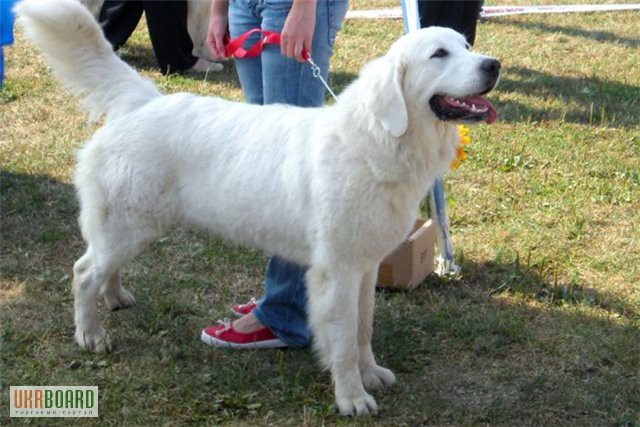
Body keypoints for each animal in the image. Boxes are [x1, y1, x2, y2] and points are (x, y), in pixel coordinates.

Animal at [16, 0, 500, 416]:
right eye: (439, 54)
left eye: (466, 46)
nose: (492, 65)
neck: (379, 140)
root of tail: (143, 100)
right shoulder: (338, 271)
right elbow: (344, 340)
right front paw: (352, 397)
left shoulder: (365, 267)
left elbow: (363, 329)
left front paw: (371, 374)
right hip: (128, 224)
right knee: (83, 271)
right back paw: (91, 334)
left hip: (134, 226)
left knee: (103, 267)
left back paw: (114, 297)